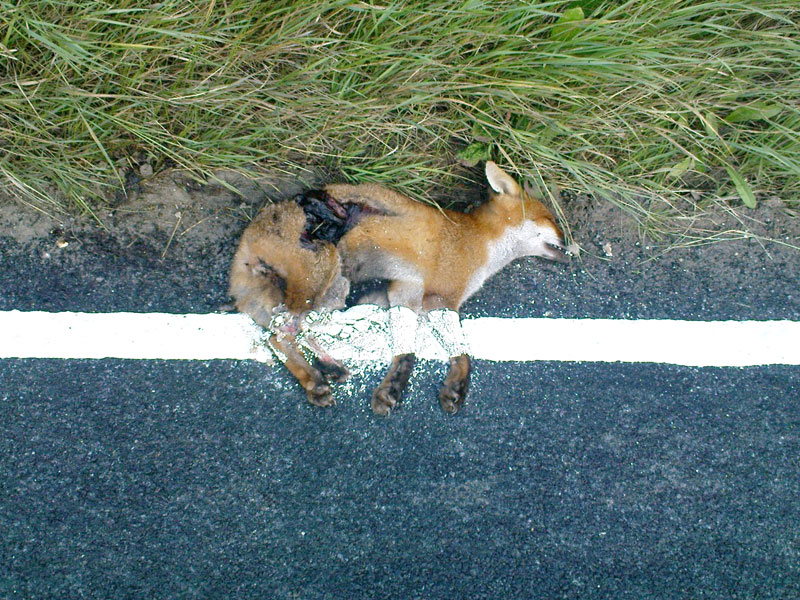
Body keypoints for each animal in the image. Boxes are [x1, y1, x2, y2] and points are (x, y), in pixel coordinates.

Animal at [229, 161, 567, 414]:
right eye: (551, 219)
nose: (569, 246)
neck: (480, 242)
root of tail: (246, 241)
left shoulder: (405, 294)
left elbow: (406, 352)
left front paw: (391, 389)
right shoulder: (440, 299)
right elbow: (462, 353)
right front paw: (454, 387)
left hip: (333, 291)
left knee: (292, 331)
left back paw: (329, 368)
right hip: (321, 276)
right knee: (278, 335)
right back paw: (315, 381)